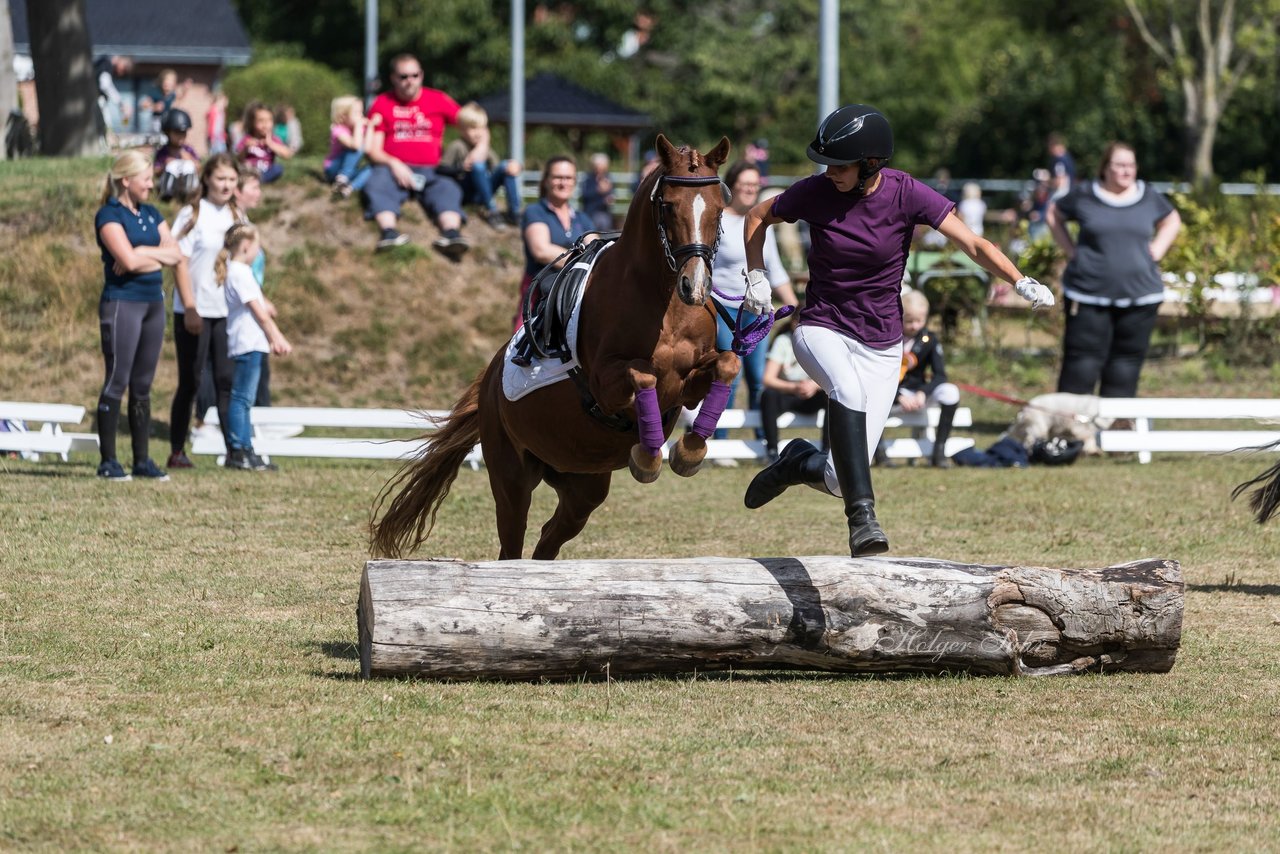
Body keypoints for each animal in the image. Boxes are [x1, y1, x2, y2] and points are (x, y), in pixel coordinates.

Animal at [371, 133, 742, 560]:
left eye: (719, 209)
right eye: (667, 206)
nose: (694, 286)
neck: (662, 302)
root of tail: (489, 381)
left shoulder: (689, 384)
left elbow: (727, 364)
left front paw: (690, 451)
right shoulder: (607, 386)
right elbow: (644, 374)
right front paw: (649, 459)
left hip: (582, 484)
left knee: (551, 537)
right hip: (512, 475)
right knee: (513, 538)